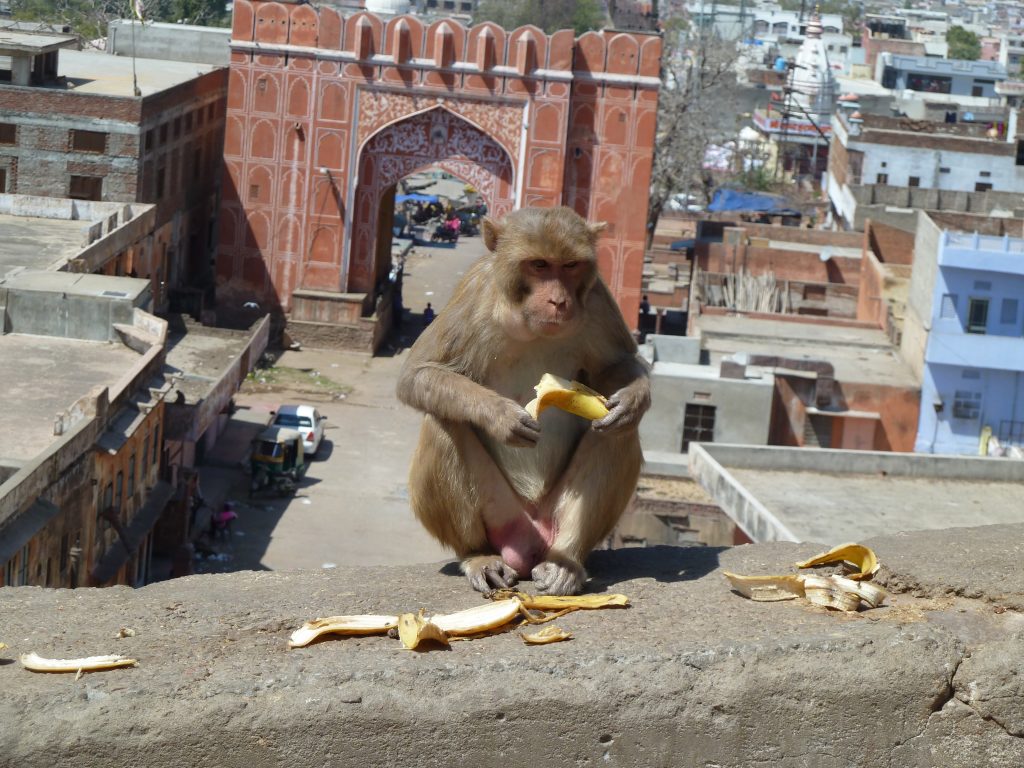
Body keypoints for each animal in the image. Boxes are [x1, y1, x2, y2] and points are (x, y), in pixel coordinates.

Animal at [395, 204, 651, 593]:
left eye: (570, 266)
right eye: (539, 265)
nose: (559, 300)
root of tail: (530, 544)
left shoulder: (597, 301)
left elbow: (617, 364)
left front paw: (633, 401)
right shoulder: (475, 293)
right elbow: (417, 373)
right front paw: (501, 416)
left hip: (553, 516)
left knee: (616, 434)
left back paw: (566, 562)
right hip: (502, 515)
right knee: (442, 423)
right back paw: (478, 555)